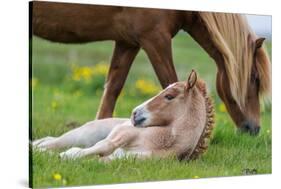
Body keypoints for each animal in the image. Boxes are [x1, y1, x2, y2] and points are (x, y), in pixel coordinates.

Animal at [30, 1, 270, 134]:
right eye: (255, 78)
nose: (254, 129)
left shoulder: (128, 43)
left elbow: (113, 88)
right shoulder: (155, 39)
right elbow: (170, 81)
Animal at [31, 70, 213, 160]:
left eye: (169, 96)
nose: (134, 113)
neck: (162, 141)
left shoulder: (126, 159)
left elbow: (102, 158)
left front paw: (63, 156)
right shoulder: (120, 135)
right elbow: (104, 145)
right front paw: (66, 155)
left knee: (50, 140)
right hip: (83, 135)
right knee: (54, 141)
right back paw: (36, 148)